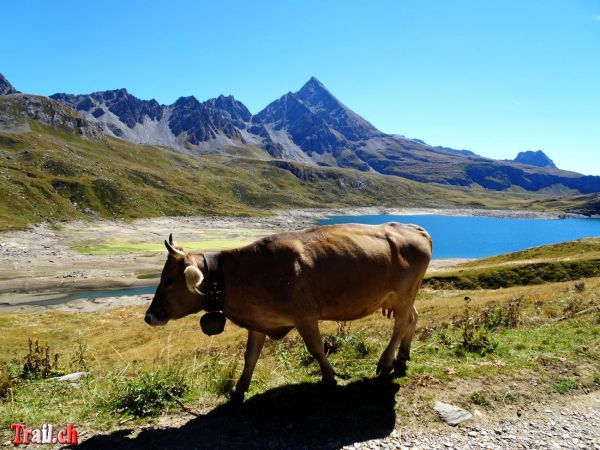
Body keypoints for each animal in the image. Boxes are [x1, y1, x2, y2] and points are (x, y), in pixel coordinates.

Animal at [145, 221, 432, 400]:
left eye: (168, 280)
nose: (149, 317)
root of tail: (416, 228)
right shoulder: (259, 321)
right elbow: (250, 357)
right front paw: (239, 389)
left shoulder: (305, 315)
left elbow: (316, 349)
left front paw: (329, 378)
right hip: (402, 296)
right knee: (412, 319)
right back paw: (403, 356)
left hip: (404, 292)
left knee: (400, 325)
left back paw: (386, 361)